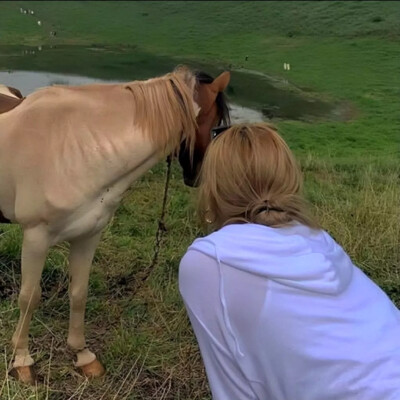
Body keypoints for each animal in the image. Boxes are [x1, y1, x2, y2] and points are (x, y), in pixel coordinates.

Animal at [0, 67, 230, 382]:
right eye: (215, 123)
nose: (197, 176)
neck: (75, 145)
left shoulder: (88, 235)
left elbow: (79, 293)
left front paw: (82, 355)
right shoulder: (36, 237)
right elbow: (29, 298)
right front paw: (22, 360)